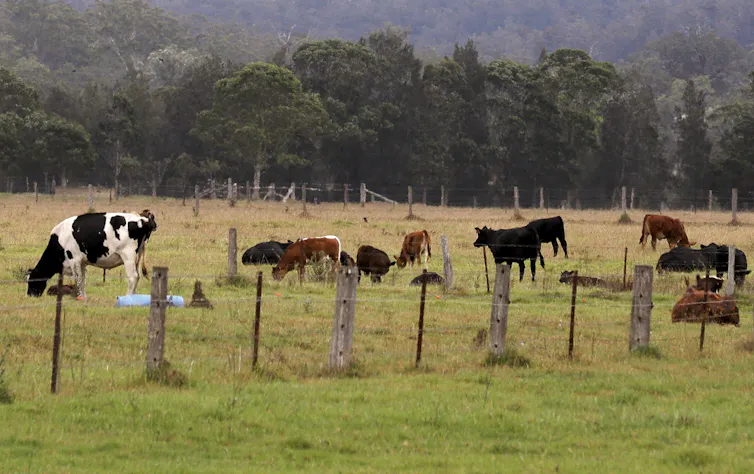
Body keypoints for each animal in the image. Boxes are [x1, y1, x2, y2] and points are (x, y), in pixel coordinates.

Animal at [27, 212, 157, 300]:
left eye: (32, 280)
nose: (29, 295)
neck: (60, 239)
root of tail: (144, 219)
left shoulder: (74, 259)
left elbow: (78, 279)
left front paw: (78, 297)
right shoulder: (82, 262)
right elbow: (83, 279)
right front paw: (83, 298)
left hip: (128, 256)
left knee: (133, 277)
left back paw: (128, 297)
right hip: (138, 257)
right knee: (138, 276)